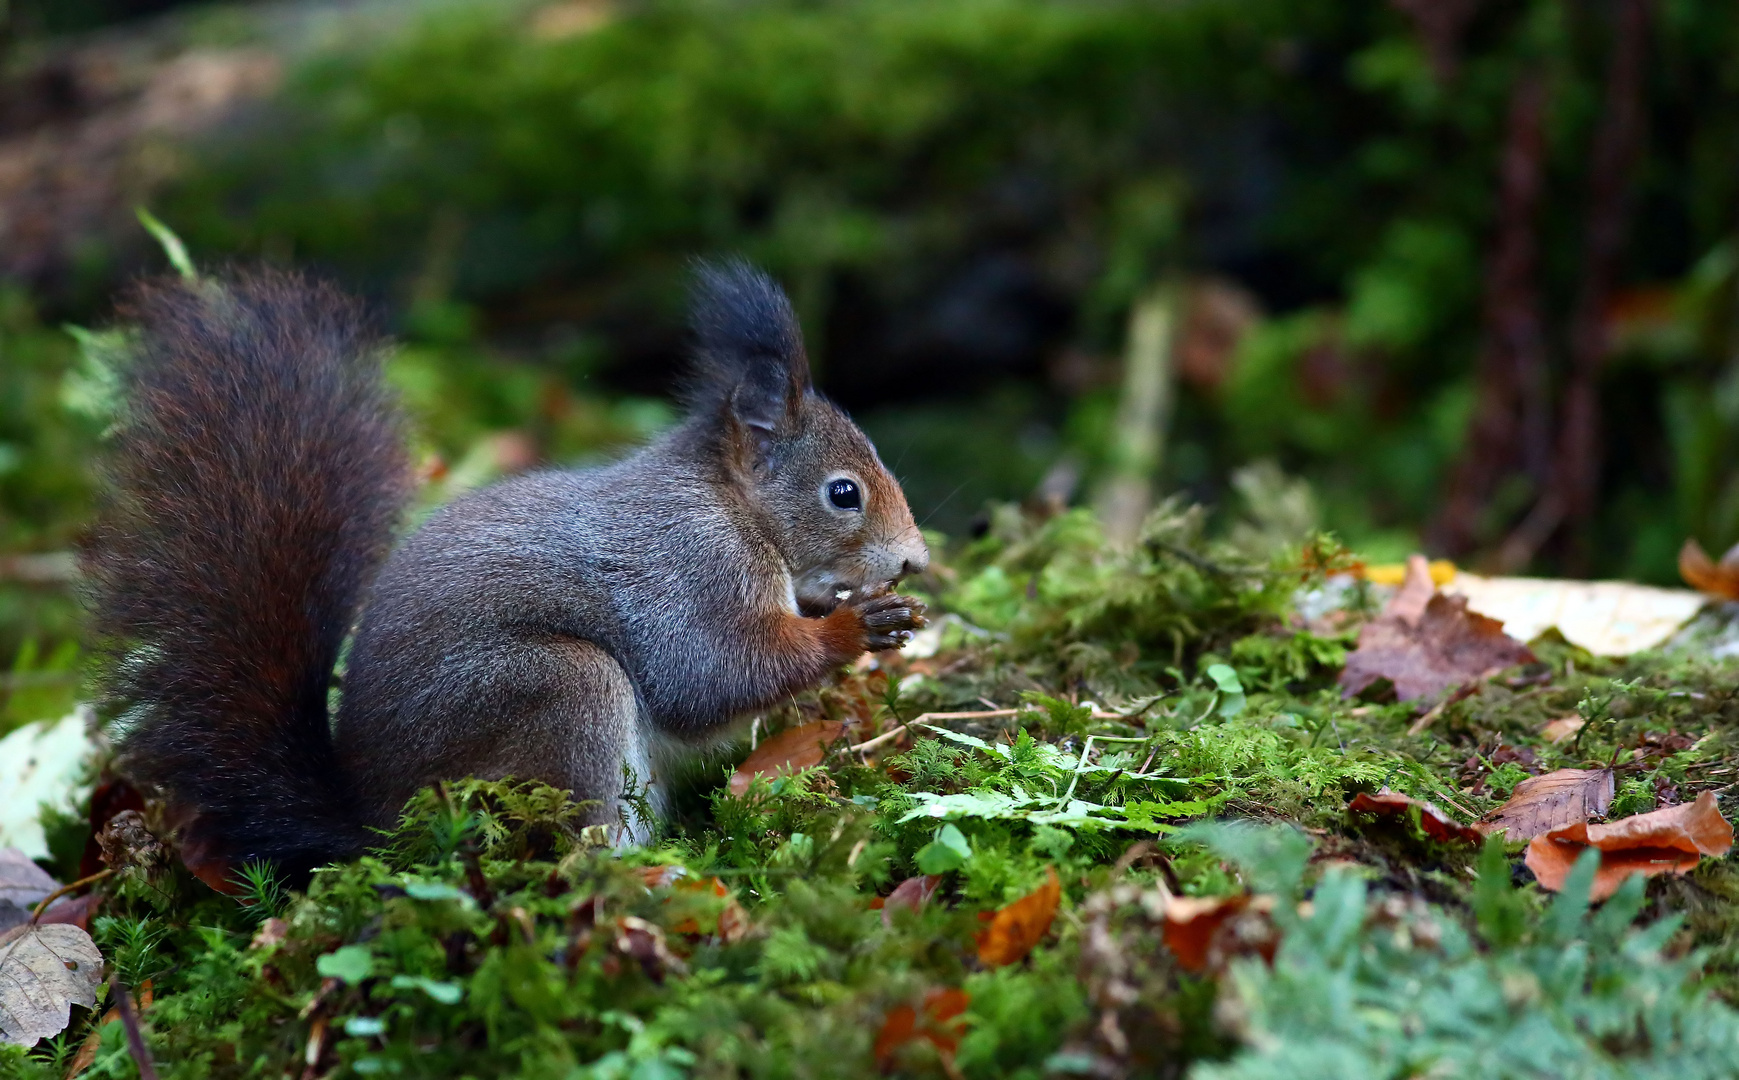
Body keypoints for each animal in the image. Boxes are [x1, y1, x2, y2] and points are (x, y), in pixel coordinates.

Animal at [84, 259, 925, 876]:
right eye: (842, 493)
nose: (914, 559)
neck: (734, 504)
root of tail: (376, 822)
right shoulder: (689, 565)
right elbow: (706, 674)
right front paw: (854, 627)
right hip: (552, 697)